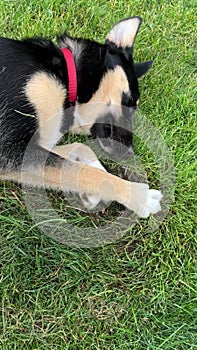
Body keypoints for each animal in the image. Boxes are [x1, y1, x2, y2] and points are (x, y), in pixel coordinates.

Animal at [0, 18, 162, 219]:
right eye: (129, 101)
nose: (129, 153)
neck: (68, 77)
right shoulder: (10, 150)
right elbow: (85, 171)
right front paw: (140, 195)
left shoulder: (37, 144)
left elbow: (81, 151)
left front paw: (93, 190)